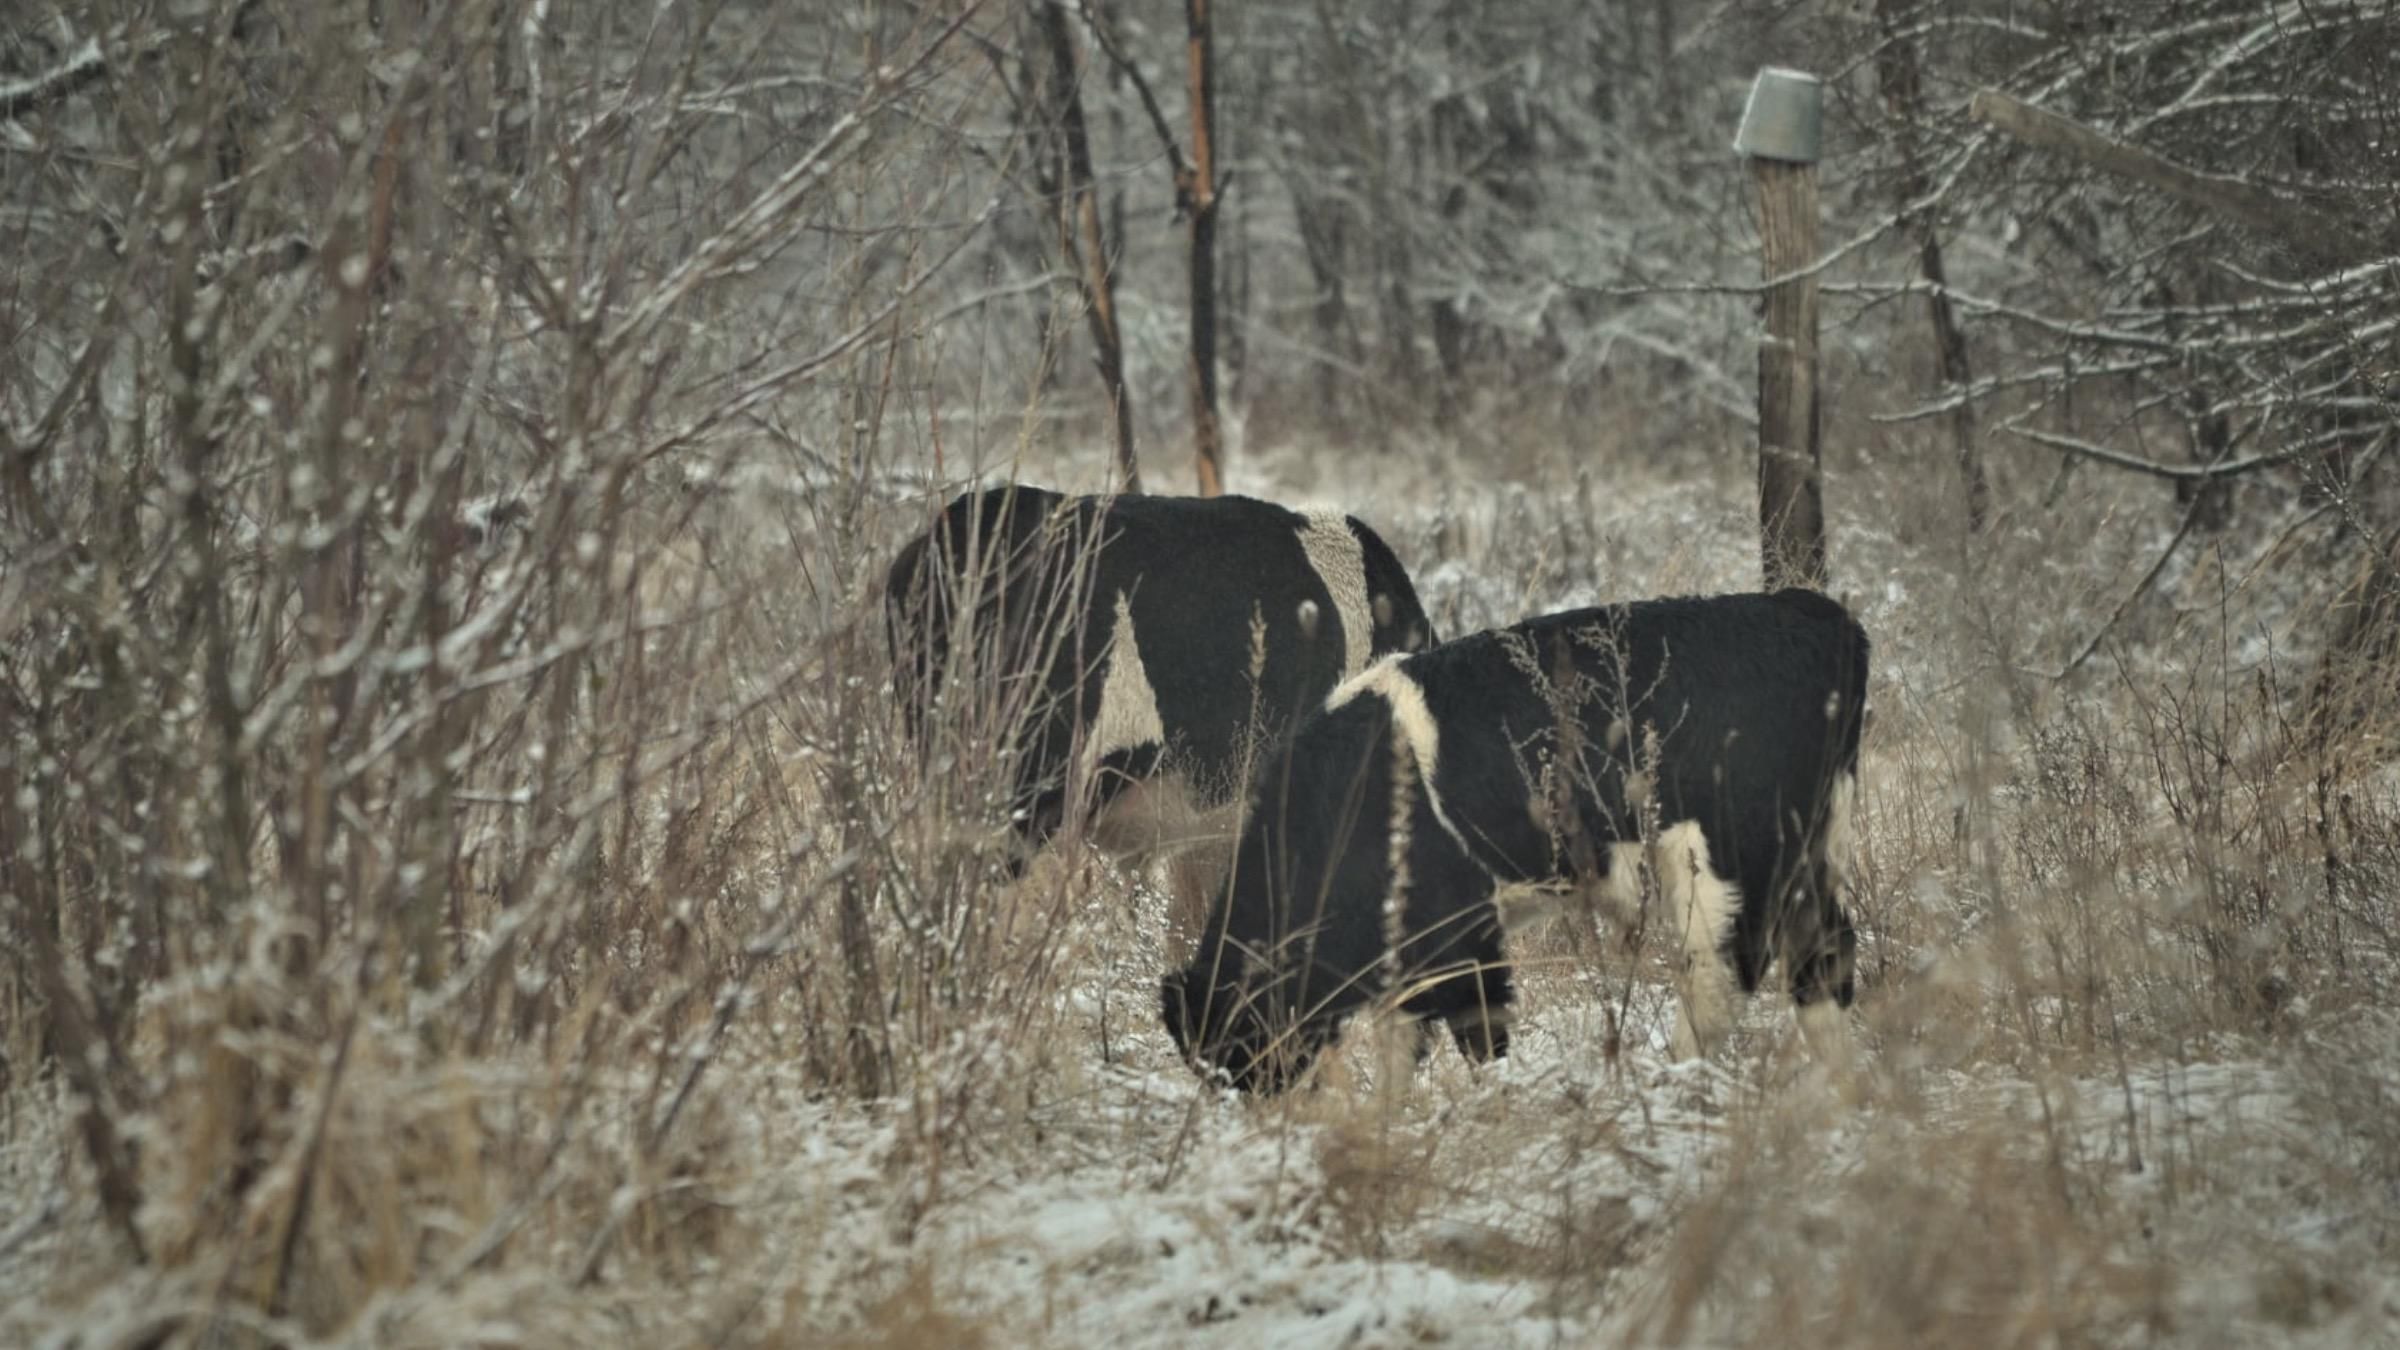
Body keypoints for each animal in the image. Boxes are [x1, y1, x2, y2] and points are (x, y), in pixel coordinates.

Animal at [1161, 588, 1869, 1093]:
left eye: (1241, 1047)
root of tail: (1806, 611)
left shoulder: (1465, 940)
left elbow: (1479, 1040)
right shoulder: (1406, 951)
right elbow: (1398, 1054)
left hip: (1729, 865)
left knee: (1720, 979)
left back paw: (1672, 1080)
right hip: (1807, 860)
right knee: (1824, 960)